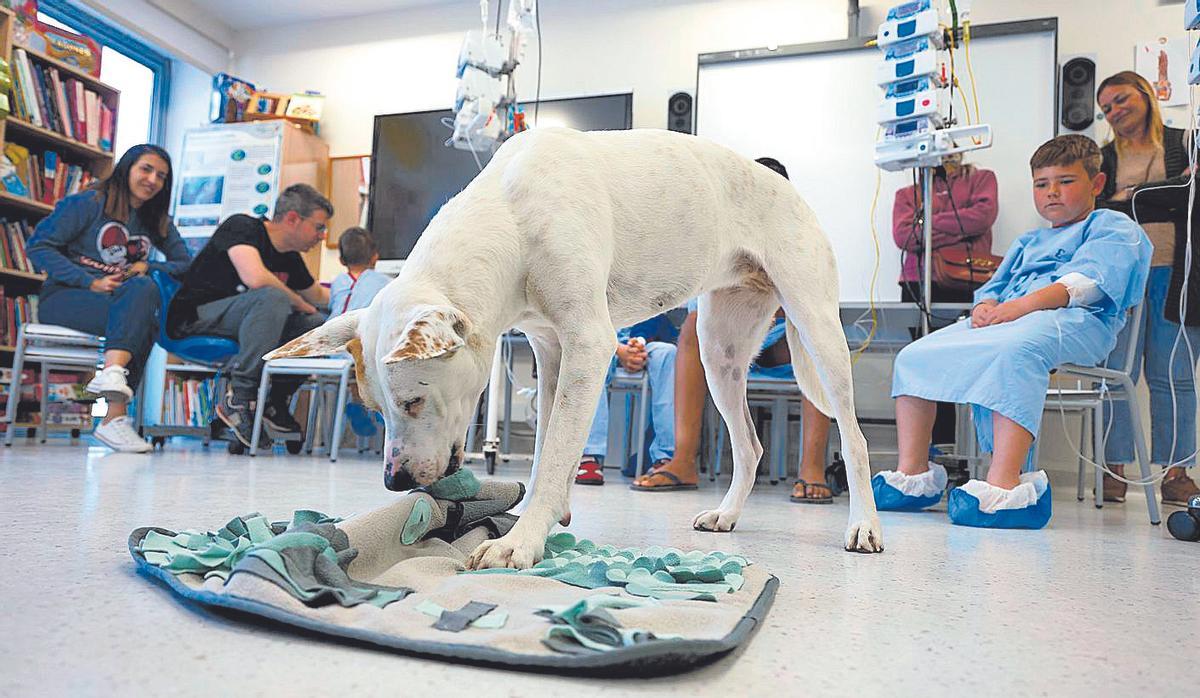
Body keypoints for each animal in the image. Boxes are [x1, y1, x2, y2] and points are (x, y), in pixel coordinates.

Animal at [274, 130, 892, 568]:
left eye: (413, 402)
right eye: (376, 410)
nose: (395, 483)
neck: (512, 214)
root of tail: (788, 187)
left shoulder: (589, 346)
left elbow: (554, 453)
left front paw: (521, 541)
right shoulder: (550, 351)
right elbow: (549, 442)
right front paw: (541, 517)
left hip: (818, 332)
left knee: (855, 440)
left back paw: (865, 525)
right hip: (719, 353)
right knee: (749, 446)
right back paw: (728, 514)